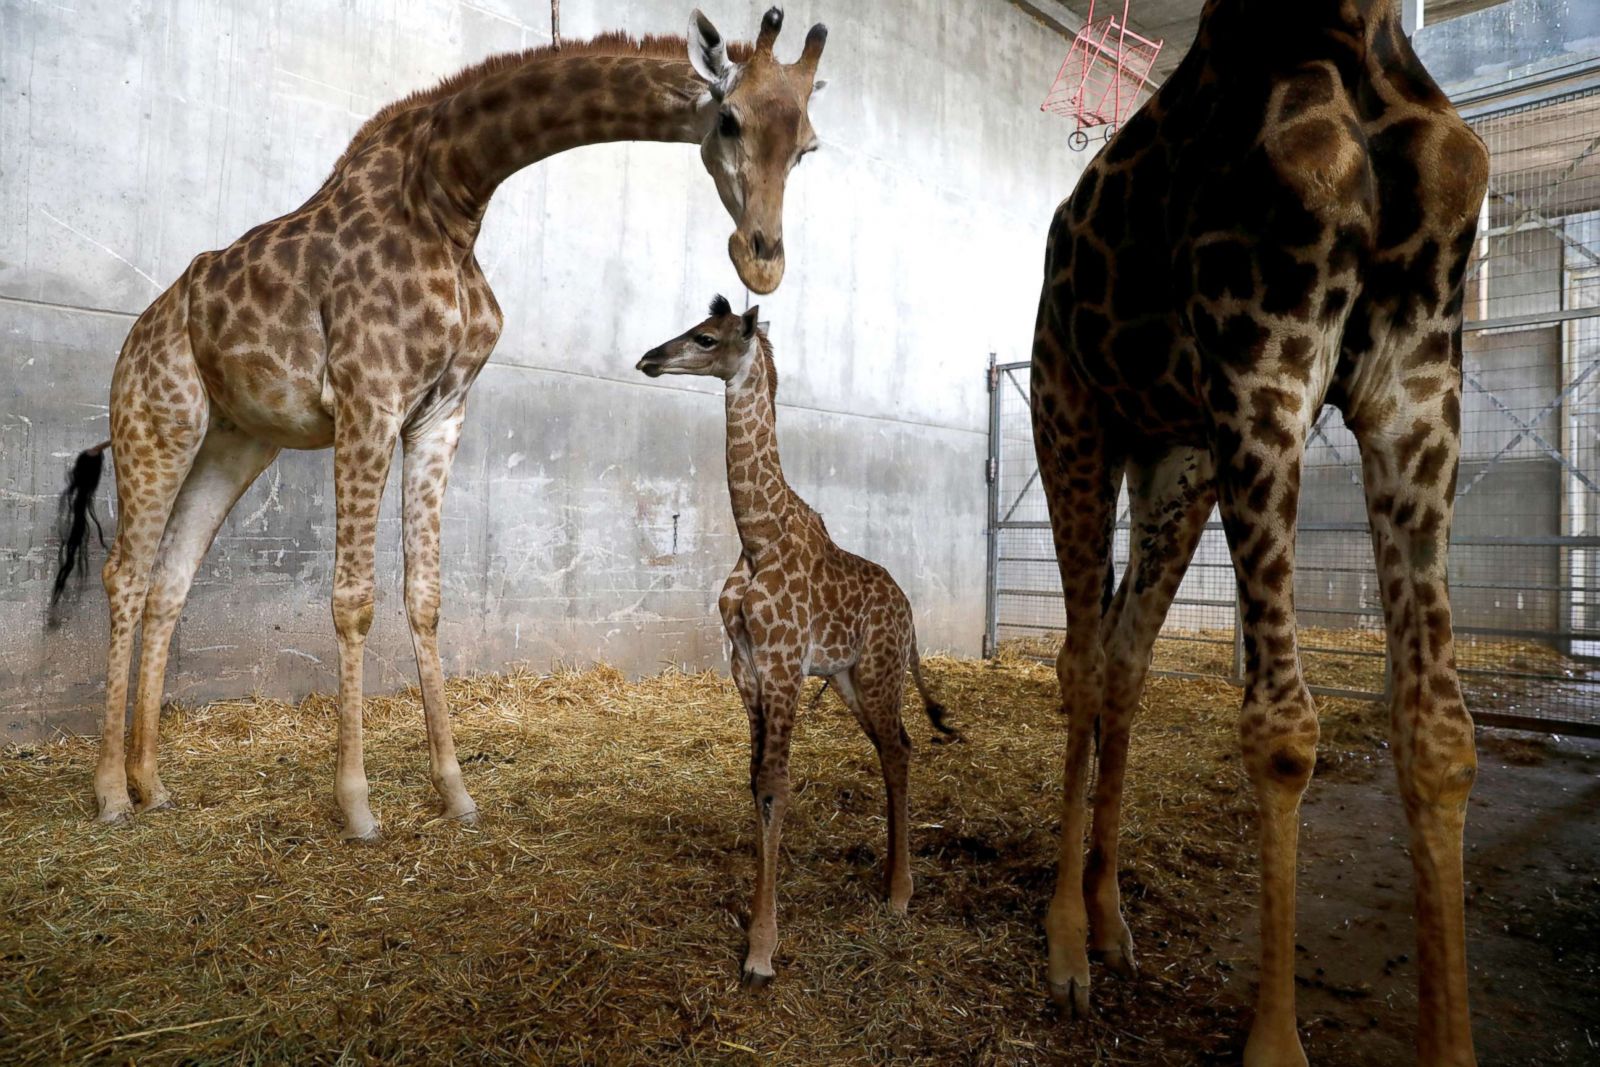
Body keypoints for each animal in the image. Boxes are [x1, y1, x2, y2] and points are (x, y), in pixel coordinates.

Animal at [53, 6, 825, 844]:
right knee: (126, 574)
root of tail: (142, 328)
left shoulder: (441, 411)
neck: (451, 195)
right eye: (729, 118)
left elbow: (424, 594)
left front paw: (454, 792)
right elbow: (353, 598)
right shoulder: (368, 398)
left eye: (810, 145)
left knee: (171, 580)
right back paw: (109, 793)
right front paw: (357, 804)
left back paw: (154, 783)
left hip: (235, 440)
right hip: (157, 417)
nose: (763, 261)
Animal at [636, 295, 953, 991]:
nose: (648, 358)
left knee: (898, 748)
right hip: (846, 678)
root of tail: (910, 614)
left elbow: (776, 785)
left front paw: (760, 951)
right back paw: (892, 885)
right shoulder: (747, 669)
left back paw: (899, 894)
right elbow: (754, 780)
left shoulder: (782, 667)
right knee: (898, 746)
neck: (757, 538)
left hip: (879, 670)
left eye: (706, 338)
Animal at [1036, 2, 1484, 1067]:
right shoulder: (1263, 361)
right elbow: (1281, 730)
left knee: (1125, 657)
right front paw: (1276, 1042)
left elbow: (1440, 730)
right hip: (1070, 413)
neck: (1349, 35)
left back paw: (1111, 921)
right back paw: (1065, 946)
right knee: (1081, 659)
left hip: (1178, 464)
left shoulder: (1417, 379)